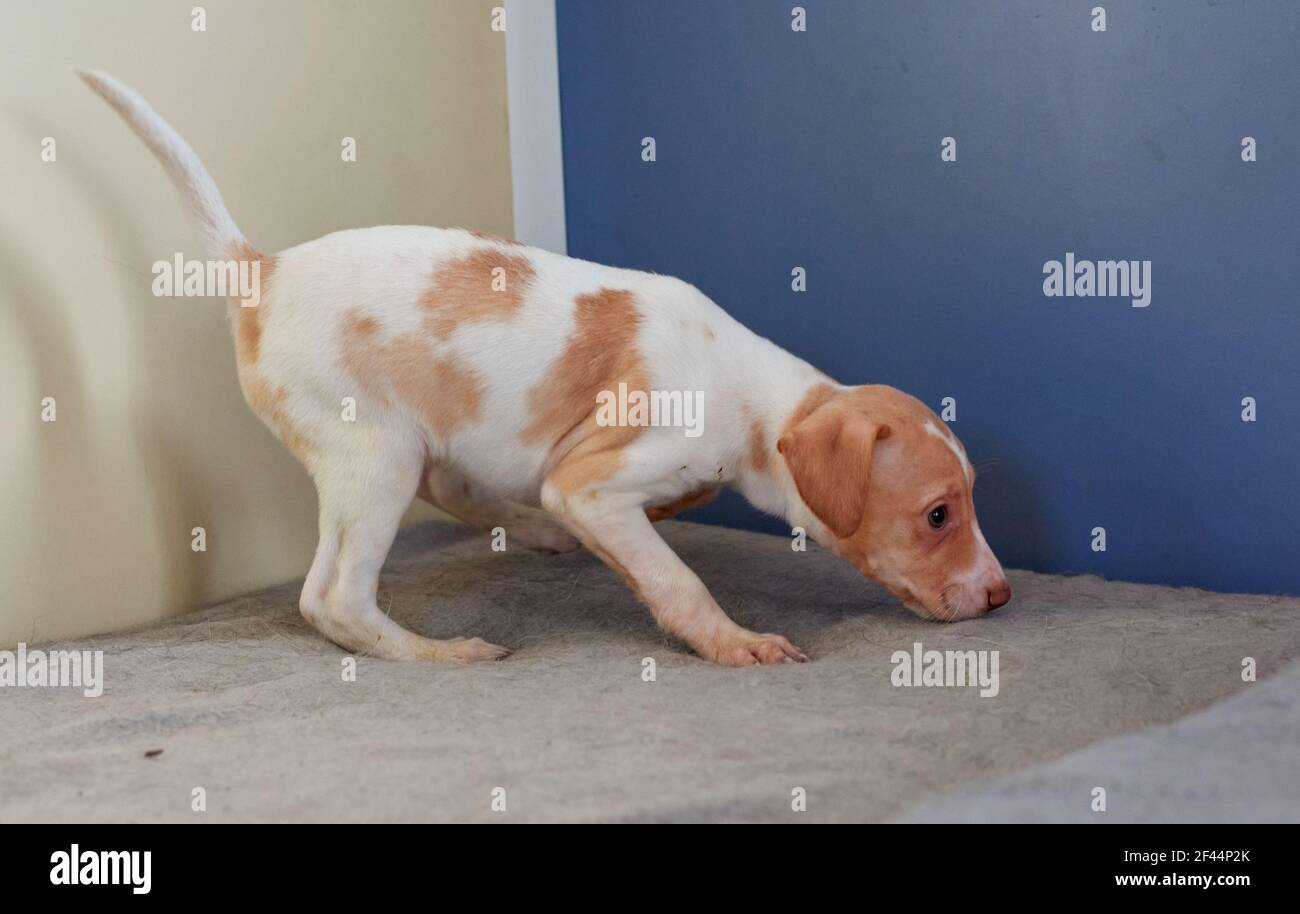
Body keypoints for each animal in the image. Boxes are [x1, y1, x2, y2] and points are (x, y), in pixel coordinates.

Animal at [83, 71, 1013, 670]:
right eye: (938, 515)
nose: (1003, 595)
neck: (752, 394)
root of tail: (263, 271)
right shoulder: (593, 482)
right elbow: (675, 579)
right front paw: (732, 642)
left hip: (404, 448)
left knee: (441, 500)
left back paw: (528, 537)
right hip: (373, 454)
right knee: (334, 599)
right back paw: (439, 653)